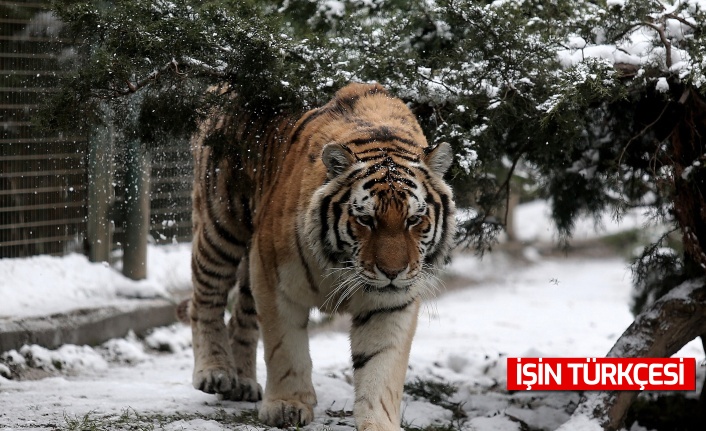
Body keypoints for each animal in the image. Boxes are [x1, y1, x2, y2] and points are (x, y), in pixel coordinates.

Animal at [184, 82, 454, 430]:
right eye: (366, 220)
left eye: (414, 219)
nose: (392, 272)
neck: (342, 266)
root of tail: (223, 84)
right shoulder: (273, 278)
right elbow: (285, 348)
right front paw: (286, 406)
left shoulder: (392, 303)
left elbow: (381, 366)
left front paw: (379, 423)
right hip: (221, 223)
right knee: (205, 297)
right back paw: (215, 372)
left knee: (242, 314)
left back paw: (242, 383)